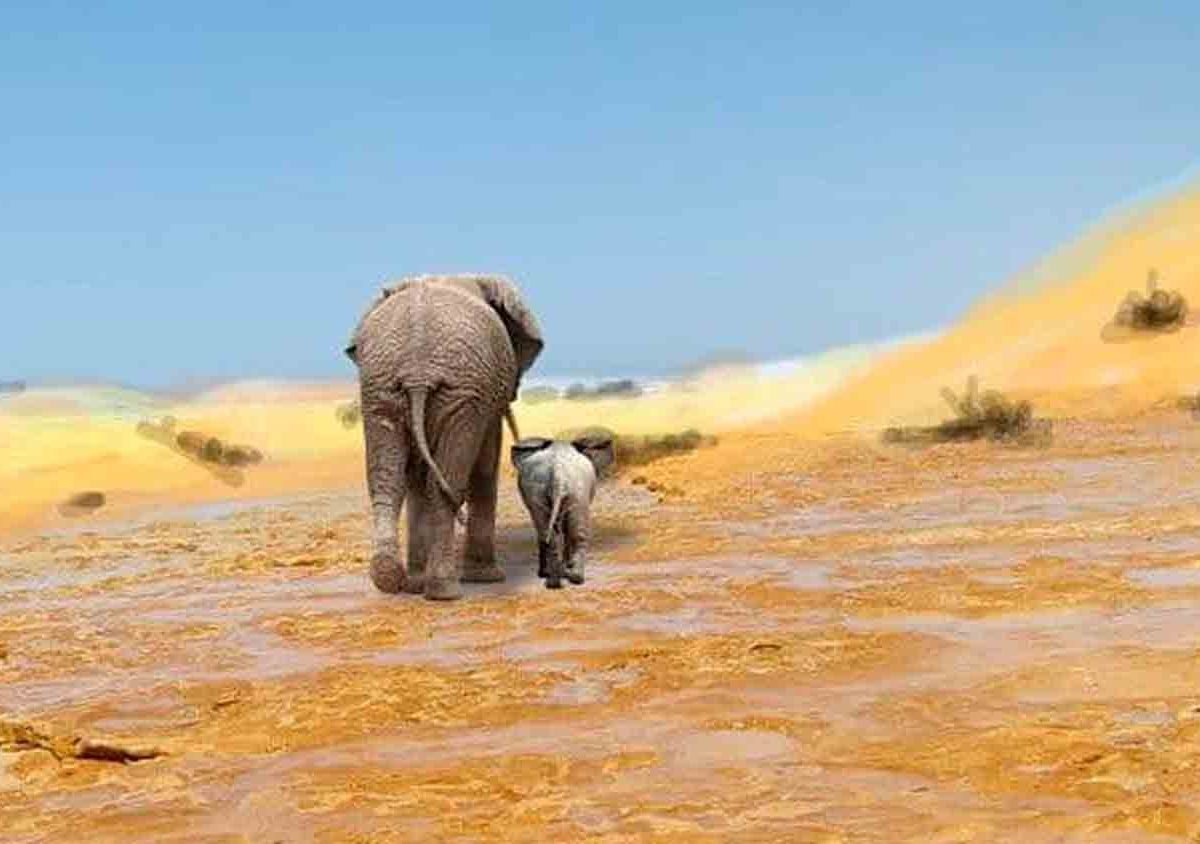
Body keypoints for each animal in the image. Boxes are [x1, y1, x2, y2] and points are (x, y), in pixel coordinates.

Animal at [340, 272, 542, 600]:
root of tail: (417, 373)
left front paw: (414, 582)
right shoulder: (484, 397)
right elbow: (486, 463)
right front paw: (487, 579)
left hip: (381, 388)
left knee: (387, 480)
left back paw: (392, 577)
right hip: (461, 393)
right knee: (446, 480)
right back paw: (444, 590)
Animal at [511, 437, 614, 588]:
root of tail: (557, 473)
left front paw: (560, 571)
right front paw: (565, 570)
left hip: (548, 490)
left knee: (548, 532)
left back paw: (557, 581)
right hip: (573, 490)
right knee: (569, 533)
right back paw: (569, 578)